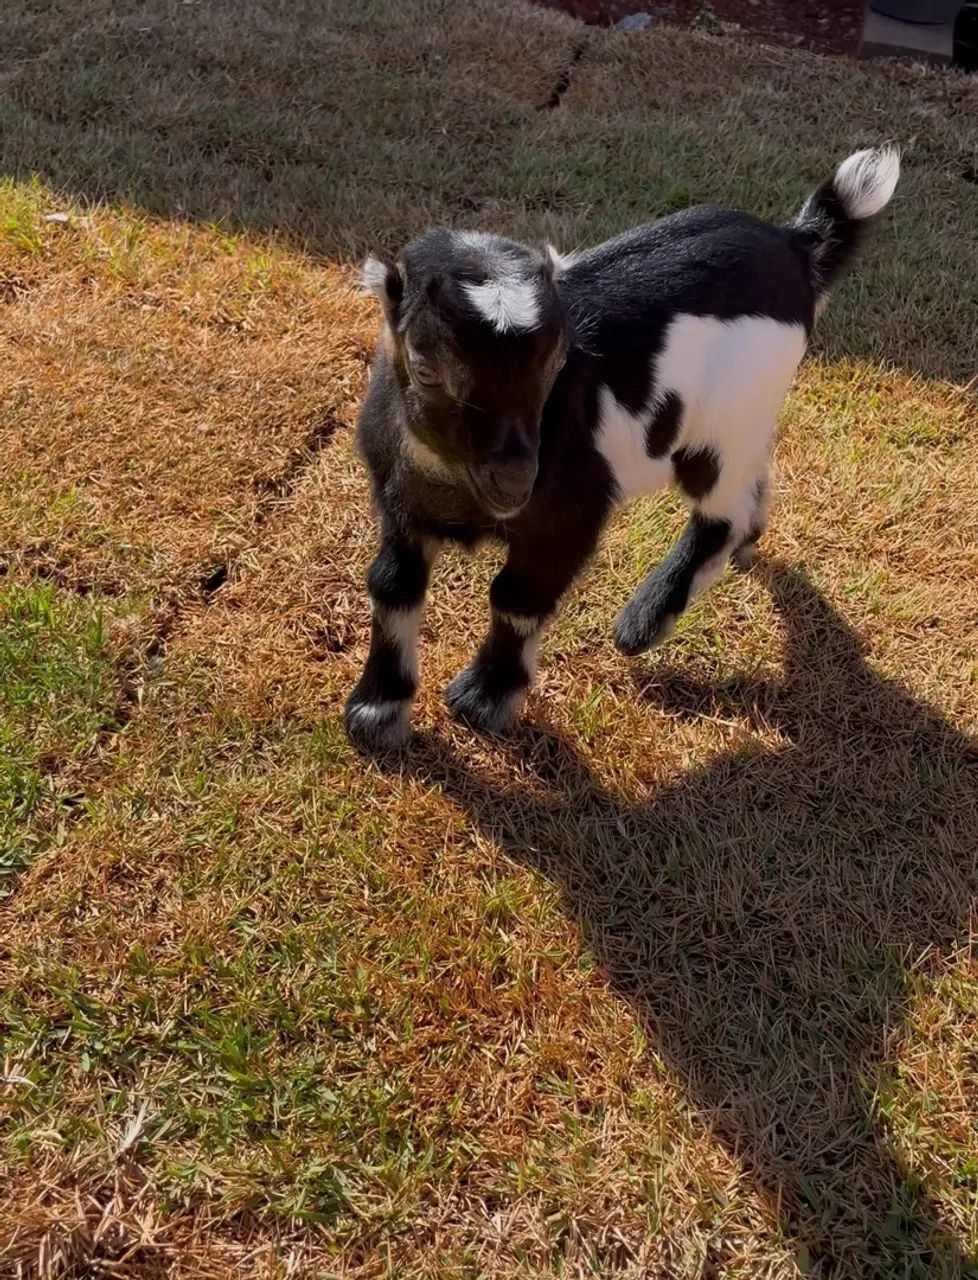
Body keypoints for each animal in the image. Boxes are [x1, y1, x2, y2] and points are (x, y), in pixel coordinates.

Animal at [345, 146, 900, 749]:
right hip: (745, 422)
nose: (516, 478)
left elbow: (517, 596)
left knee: (720, 512)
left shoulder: (569, 512)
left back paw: (644, 623)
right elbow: (391, 586)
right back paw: (747, 547)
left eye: (556, 364)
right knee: (754, 476)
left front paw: (484, 700)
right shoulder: (401, 502)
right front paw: (376, 712)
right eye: (425, 369)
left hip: (721, 428)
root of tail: (795, 244)